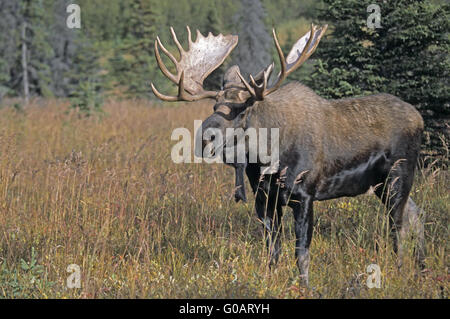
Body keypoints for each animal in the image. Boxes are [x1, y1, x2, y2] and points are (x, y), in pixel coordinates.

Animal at [150, 24, 426, 284]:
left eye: (242, 110)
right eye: (215, 106)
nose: (205, 137)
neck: (267, 156)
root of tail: (420, 118)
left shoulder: (304, 195)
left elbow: (301, 254)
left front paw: (305, 287)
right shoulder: (265, 199)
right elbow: (272, 252)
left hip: (398, 176)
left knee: (399, 227)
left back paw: (402, 270)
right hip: (382, 185)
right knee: (415, 216)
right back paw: (421, 268)